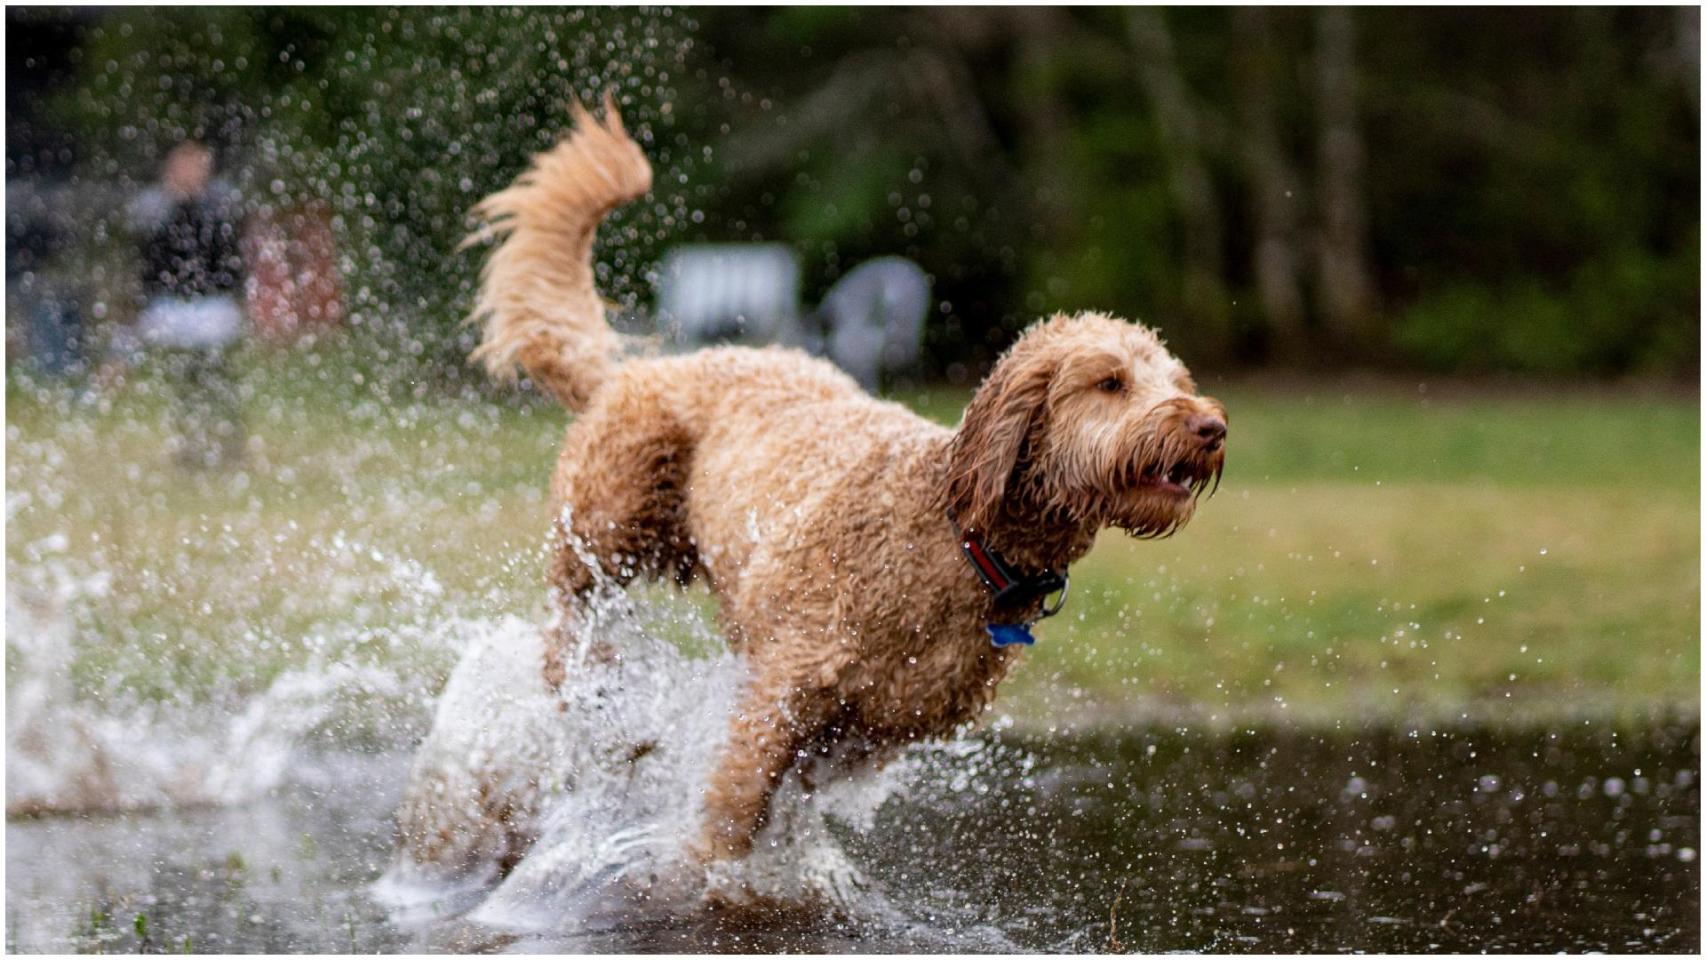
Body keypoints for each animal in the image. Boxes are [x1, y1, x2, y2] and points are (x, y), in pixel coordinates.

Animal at [406, 97, 1221, 873]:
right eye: (1110, 382)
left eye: (1175, 380)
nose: (1211, 425)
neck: (953, 540)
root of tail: (638, 370)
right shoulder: (783, 688)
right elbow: (732, 814)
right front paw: (704, 876)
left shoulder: (873, 729)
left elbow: (794, 793)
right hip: (607, 527)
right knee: (566, 627)